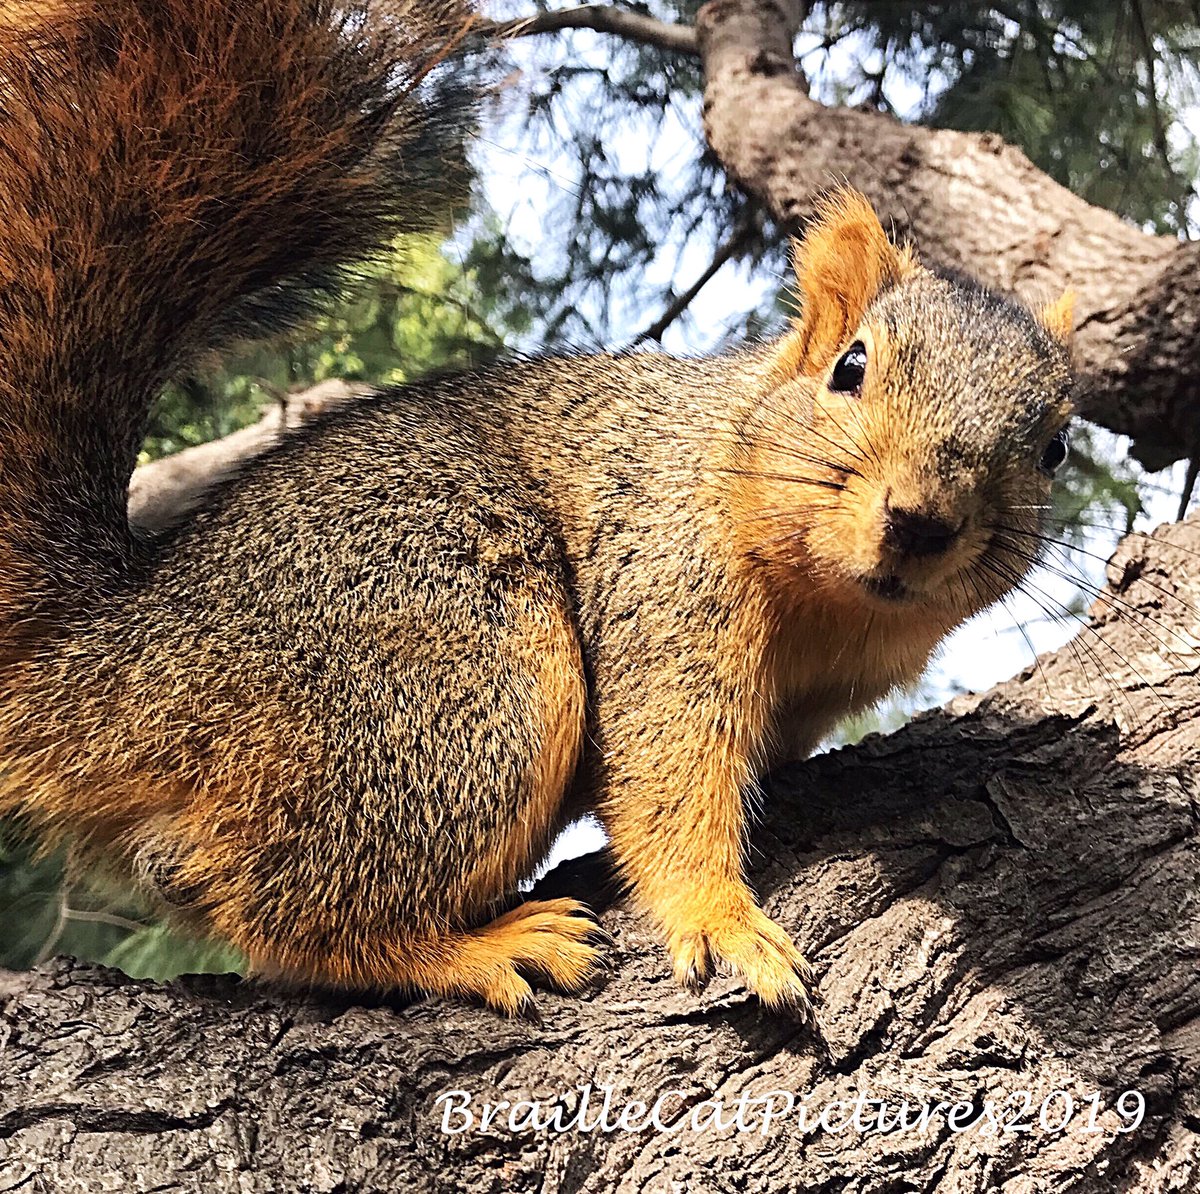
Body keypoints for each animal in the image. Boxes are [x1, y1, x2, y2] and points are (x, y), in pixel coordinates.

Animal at [0, 0, 1075, 1019]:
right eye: (850, 368)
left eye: (1055, 450)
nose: (923, 520)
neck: (830, 606)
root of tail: (120, 653)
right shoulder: (665, 579)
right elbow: (669, 772)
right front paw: (723, 921)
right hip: (454, 673)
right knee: (290, 912)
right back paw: (470, 948)